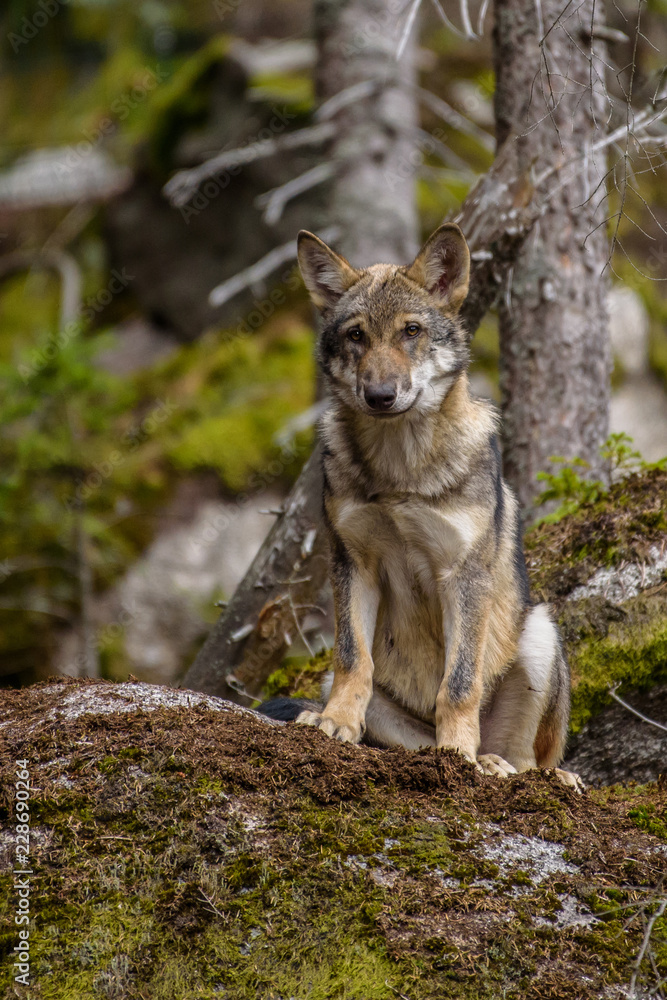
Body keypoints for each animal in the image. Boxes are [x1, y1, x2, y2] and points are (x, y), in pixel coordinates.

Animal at [263, 224, 580, 788]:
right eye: (357, 336)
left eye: (410, 331)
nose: (380, 395)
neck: (400, 473)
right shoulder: (352, 564)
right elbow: (353, 660)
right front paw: (334, 724)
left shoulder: (463, 575)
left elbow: (458, 685)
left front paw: (457, 754)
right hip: (386, 715)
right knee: (410, 735)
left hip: (541, 632)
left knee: (527, 762)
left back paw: (507, 767)